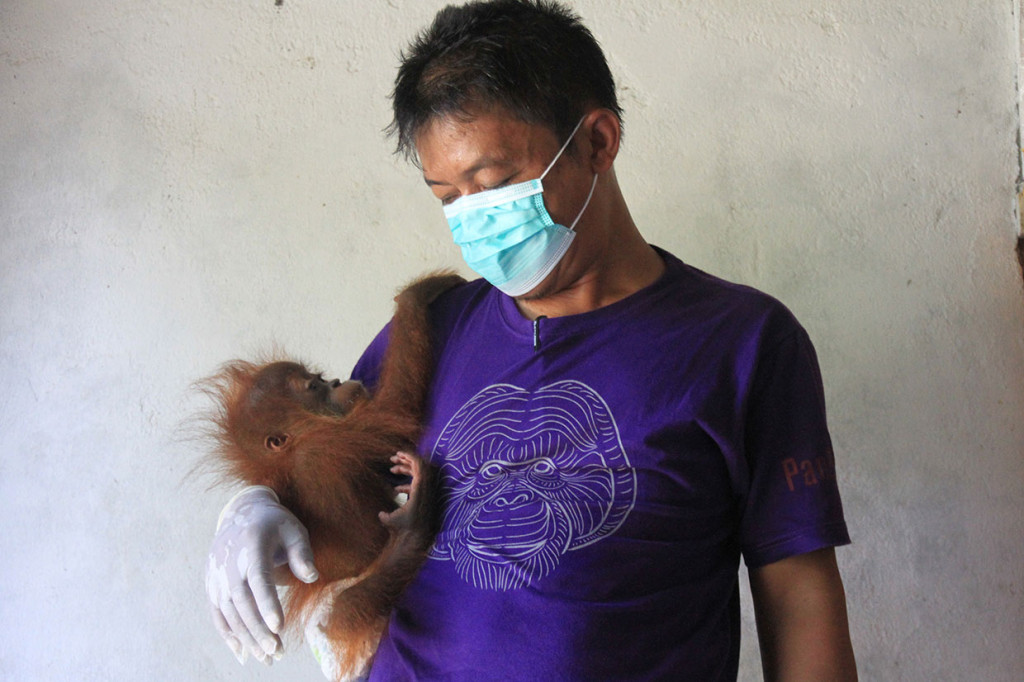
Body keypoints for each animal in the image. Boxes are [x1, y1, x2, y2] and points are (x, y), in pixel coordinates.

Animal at [201, 271, 465, 681]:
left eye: (320, 377)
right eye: (315, 387)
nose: (339, 381)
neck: (294, 450)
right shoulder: (328, 446)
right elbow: (396, 422)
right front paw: (417, 295)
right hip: (341, 623)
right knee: (346, 609)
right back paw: (412, 526)